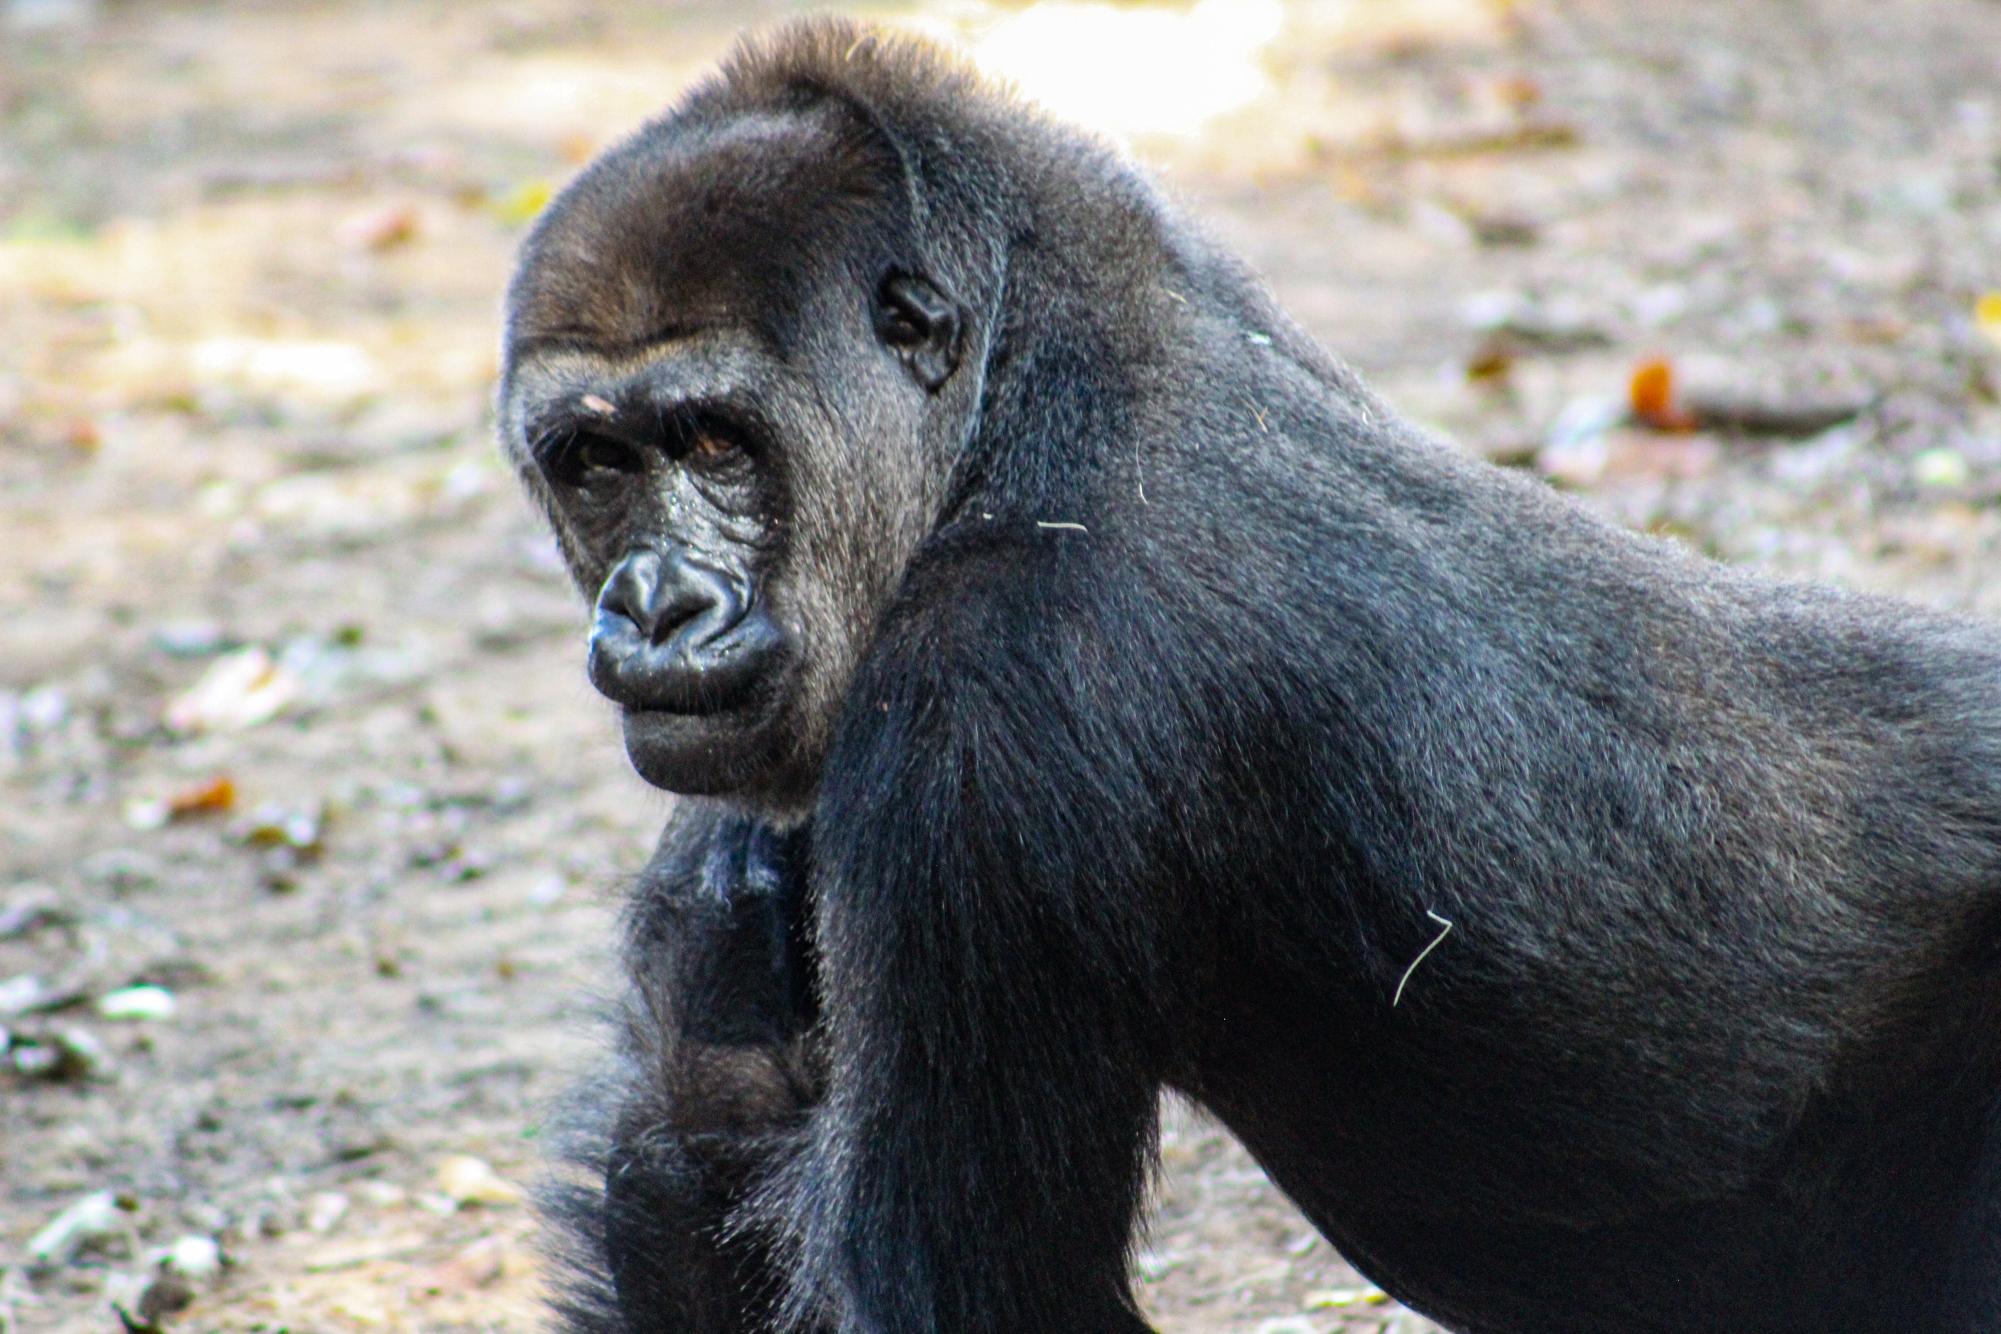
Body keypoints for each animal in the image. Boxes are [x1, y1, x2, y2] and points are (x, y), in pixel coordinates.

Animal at [496, 18, 2000, 1334]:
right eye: (595, 463)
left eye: (717, 442)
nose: (656, 606)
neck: (1005, 409)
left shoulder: (978, 708)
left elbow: (980, 1291)